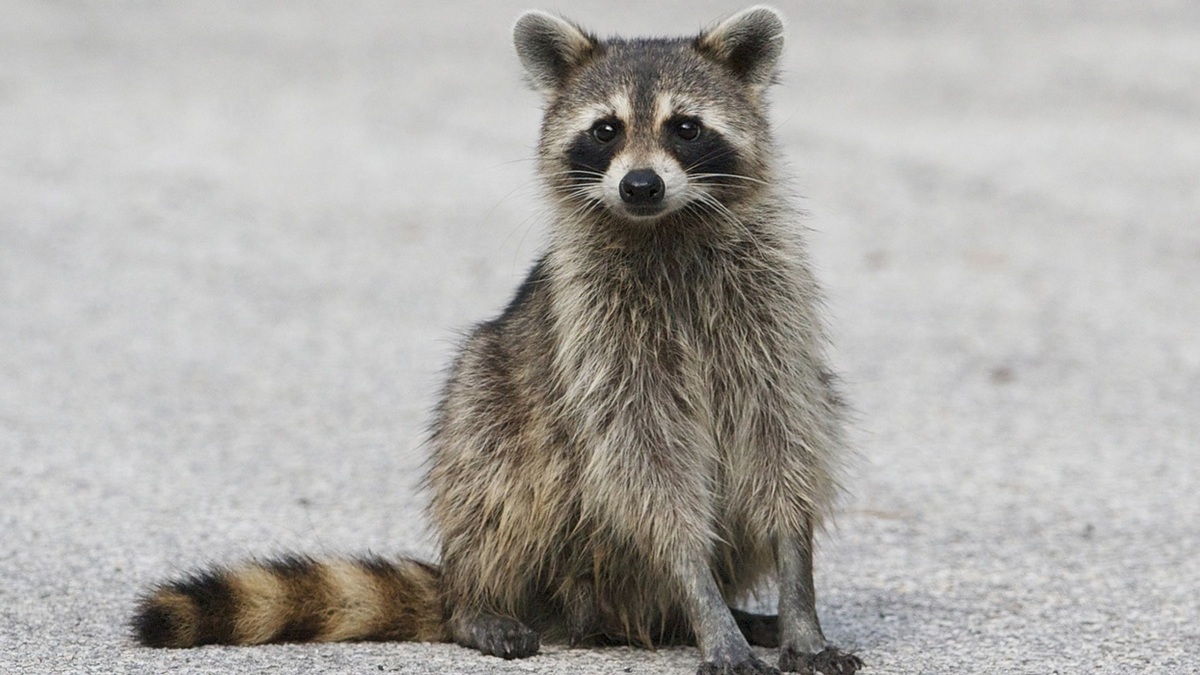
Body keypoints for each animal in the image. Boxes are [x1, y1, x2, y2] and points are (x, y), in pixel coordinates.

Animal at [131, 6, 864, 672]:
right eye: (605, 130)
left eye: (685, 128)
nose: (640, 185)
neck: (665, 227)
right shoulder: (598, 339)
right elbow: (647, 469)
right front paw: (704, 600)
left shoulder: (771, 321)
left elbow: (786, 446)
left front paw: (797, 603)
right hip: (492, 397)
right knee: (497, 468)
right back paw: (487, 603)